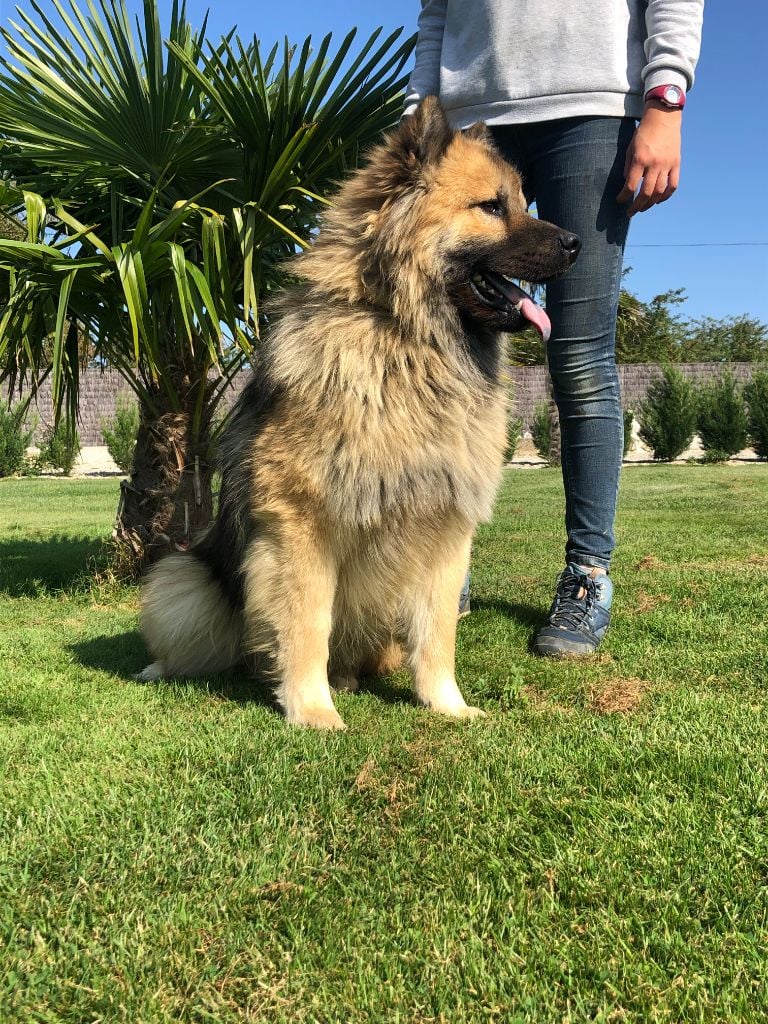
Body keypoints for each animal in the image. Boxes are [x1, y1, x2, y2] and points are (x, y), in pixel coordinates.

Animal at [139, 97, 580, 729]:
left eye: (522, 203)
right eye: (492, 207)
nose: (576, 242)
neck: (403, 339)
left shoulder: (447, 529)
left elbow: (438, 634)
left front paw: (447, 705)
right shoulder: (301, 525)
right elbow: (306, 624)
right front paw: (311, 709)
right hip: (185, 580)